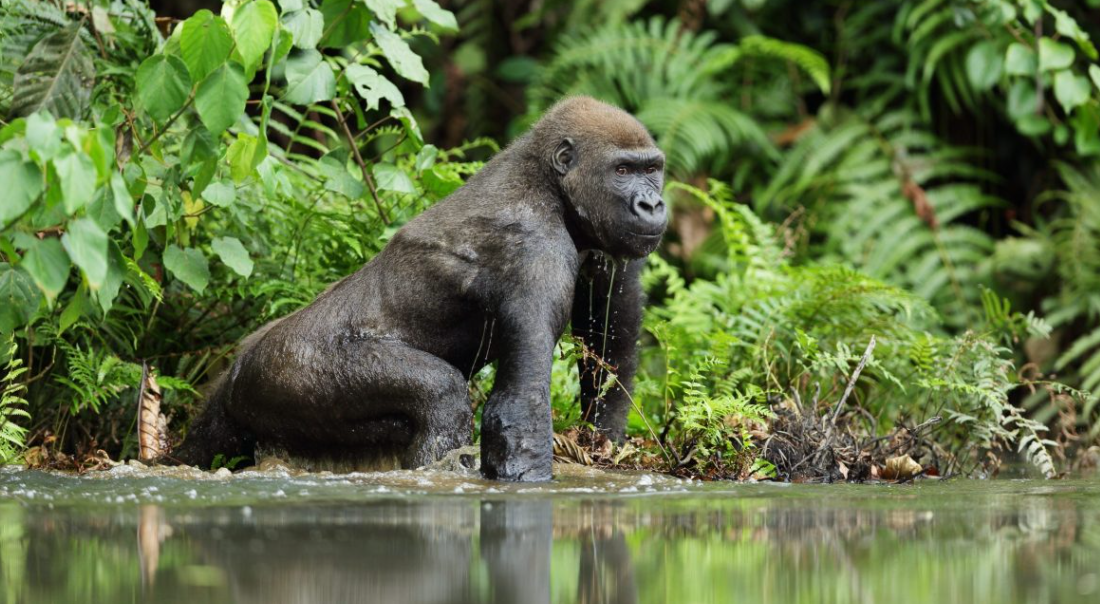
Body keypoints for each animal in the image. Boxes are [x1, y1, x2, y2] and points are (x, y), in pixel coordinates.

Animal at [171, 96, 667, 481]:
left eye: (653, 169)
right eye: (622, 169)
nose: (653, 204)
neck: (548, 181)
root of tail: (237, 370)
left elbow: (609, 343)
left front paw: (603, 441)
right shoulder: (536, 251)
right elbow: (518, 411)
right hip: (285, 371)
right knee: (441, 396)